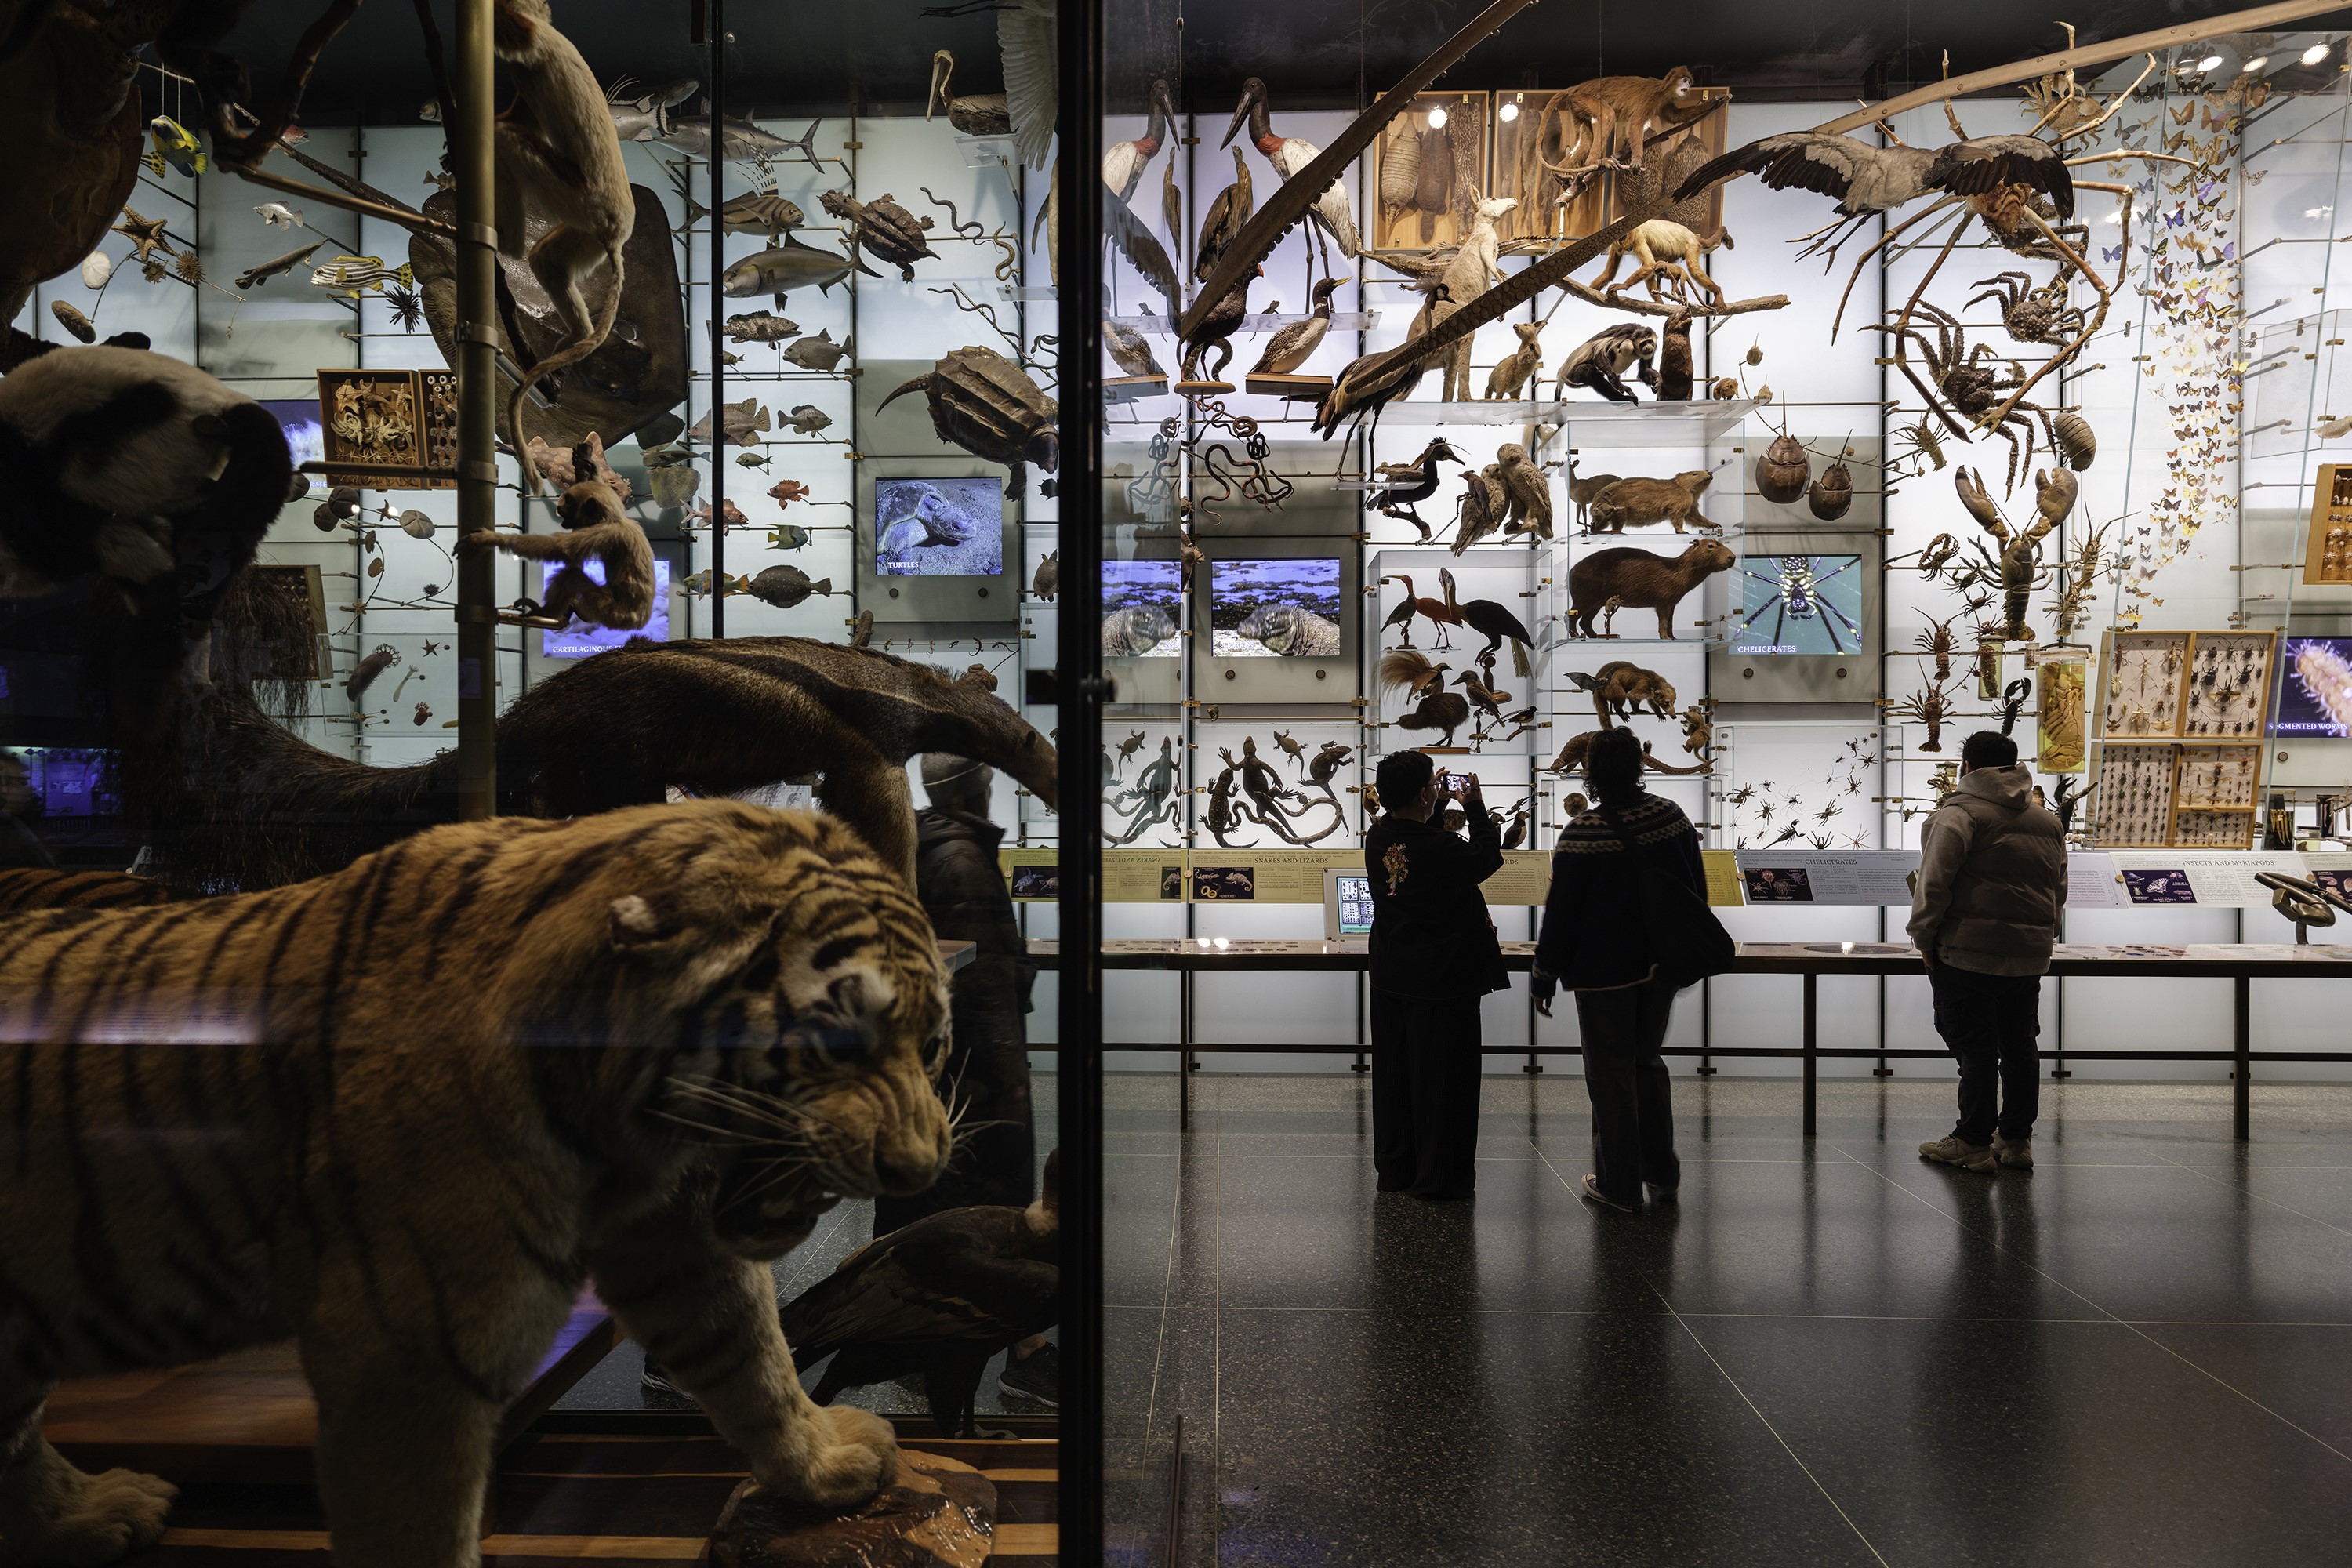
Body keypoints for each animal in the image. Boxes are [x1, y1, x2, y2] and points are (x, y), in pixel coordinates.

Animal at [0, 804, 946, 1561]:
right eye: (839, 1039)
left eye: (932, 1040)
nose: (923, 1166)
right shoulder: (405, 1359)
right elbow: (417, 1530)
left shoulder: (676, 1241)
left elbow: (752, 1359)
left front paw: (829, 1463)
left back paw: (99, 1511)